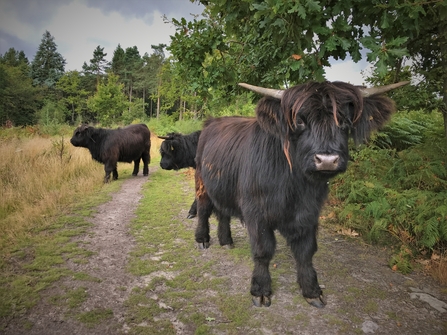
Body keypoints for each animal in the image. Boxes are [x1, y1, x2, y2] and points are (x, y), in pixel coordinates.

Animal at [194, 80, 412, 308]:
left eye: (345, 121)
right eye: (300, 121)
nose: (327, 160)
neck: (294, 187)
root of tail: (210, 122)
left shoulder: (309, 213)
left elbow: (306, 251)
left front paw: (312, 290)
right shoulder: (256, 212)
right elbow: (263, 250)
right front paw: (260, 290)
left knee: (223, 212)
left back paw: (226, 240)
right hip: (202, 181)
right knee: (203, 209)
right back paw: (202, 239)